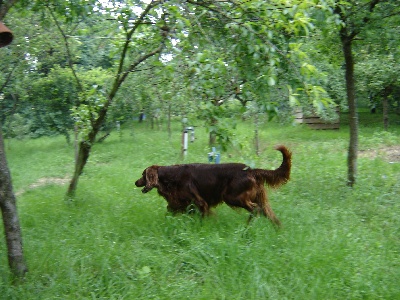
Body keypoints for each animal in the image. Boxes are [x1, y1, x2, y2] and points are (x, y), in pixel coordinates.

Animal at [134, 145, 290, 225]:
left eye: (143, 175)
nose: (135, 182)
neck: (171, 177)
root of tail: (251, 170)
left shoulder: (199, 202)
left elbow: (203, 216)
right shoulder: (178, 203)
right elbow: (169, 212)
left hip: (233, 197)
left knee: (255, 209)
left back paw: (247, 227)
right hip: (257, 198)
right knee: (269, 214)